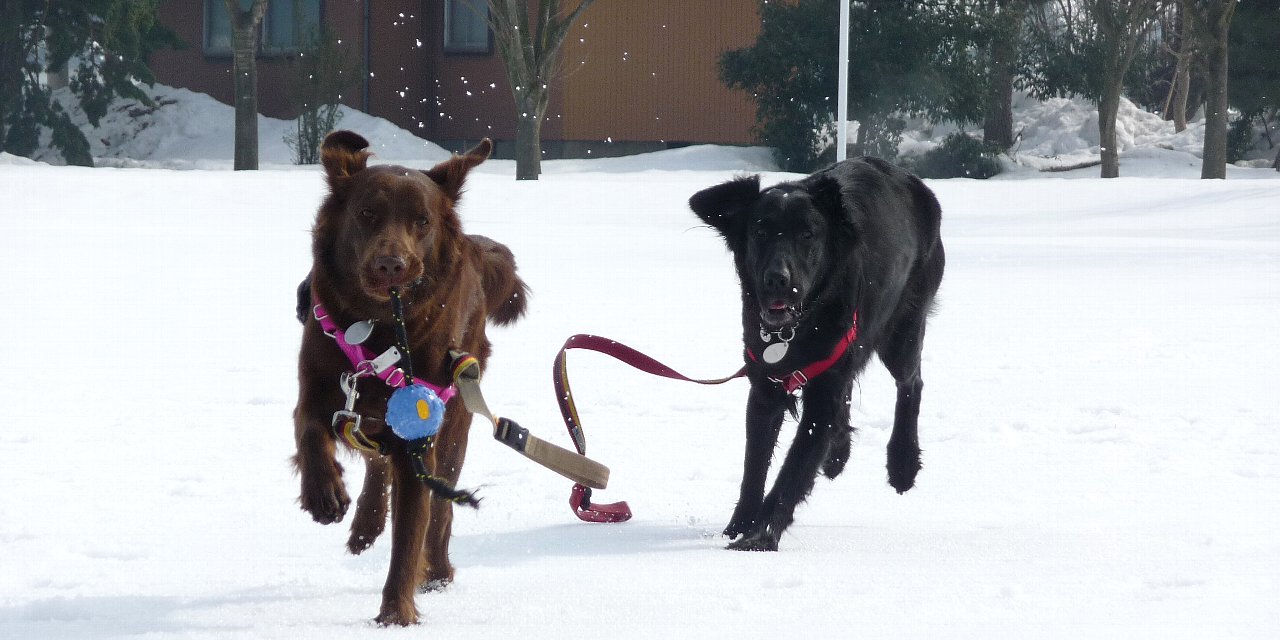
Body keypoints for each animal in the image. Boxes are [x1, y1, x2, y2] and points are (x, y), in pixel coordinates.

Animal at [292, 130, 527, 624]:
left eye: (422, 221)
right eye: (366, 213)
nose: (391, 265)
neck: (377, 329)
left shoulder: (420, 438)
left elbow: (409, 538)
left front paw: (396, 617)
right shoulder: (318, 388)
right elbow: (310, 433)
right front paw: (325, 494)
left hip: (457, 417)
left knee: (441, 508)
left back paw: (437, 571)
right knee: (375, 461)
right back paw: (364, 524)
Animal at [688, 157, 944, 551]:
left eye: (807, 235)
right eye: (759, 232)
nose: (778, 279)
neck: (794, 329)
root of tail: (914, 183)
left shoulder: (823, 395)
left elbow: (793, 469)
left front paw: (759, 537)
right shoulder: (765, 387)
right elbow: (754, 466)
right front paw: (738, 526)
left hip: (903, 327)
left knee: (911, 383)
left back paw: (902, 462)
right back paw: (838, 454)